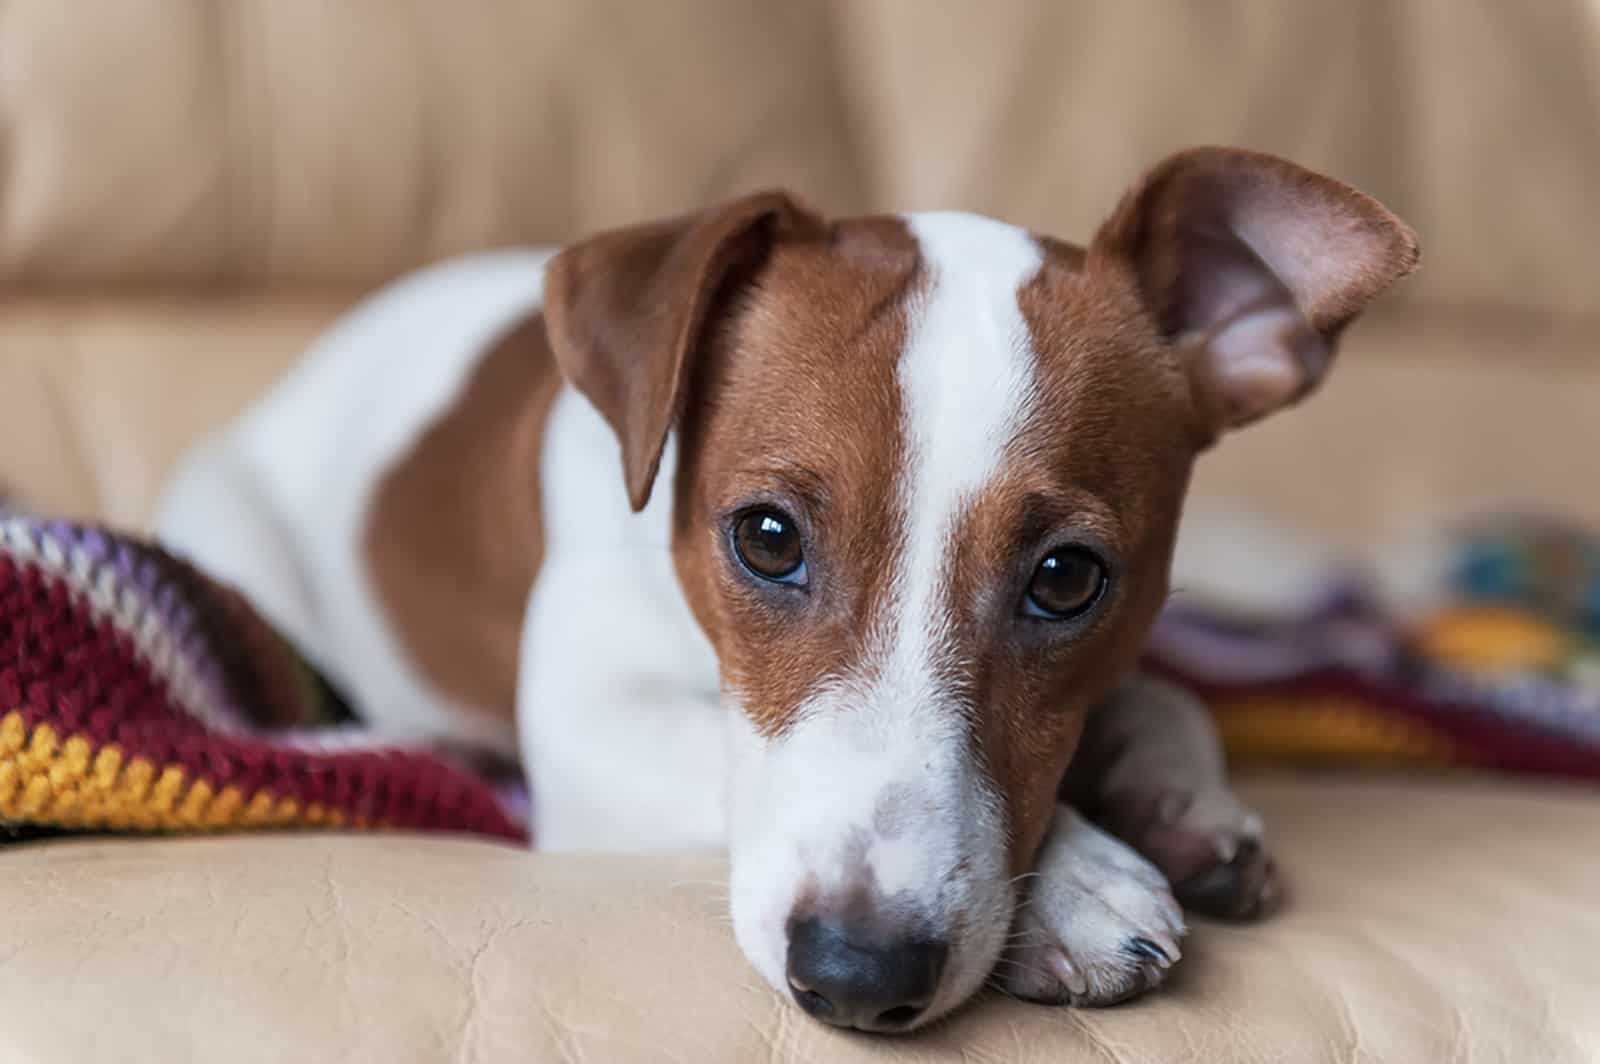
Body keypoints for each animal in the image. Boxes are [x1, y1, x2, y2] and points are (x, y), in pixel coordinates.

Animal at [156, 149, 1420, 1030]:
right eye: (765, 539)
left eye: (1067, 578)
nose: (859, 974)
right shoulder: (594, 730)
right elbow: (732, 767)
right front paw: (1080, 876)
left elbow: (1169, 693)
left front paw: (1176, 801)